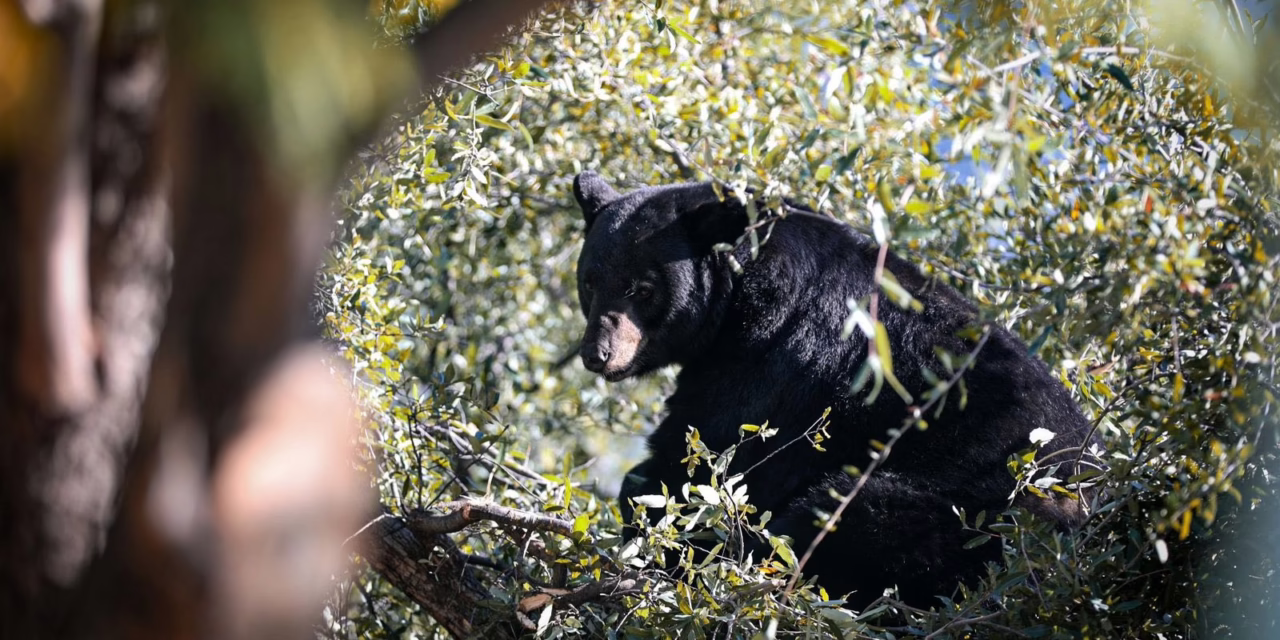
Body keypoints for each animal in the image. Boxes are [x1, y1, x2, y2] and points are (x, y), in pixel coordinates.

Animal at [571, 171, 1098, 608]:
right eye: (590, 282)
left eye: (643, 288)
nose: (597, 353)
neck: (745, 288)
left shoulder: (775, 358)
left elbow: (712, 456)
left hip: (971, 512)